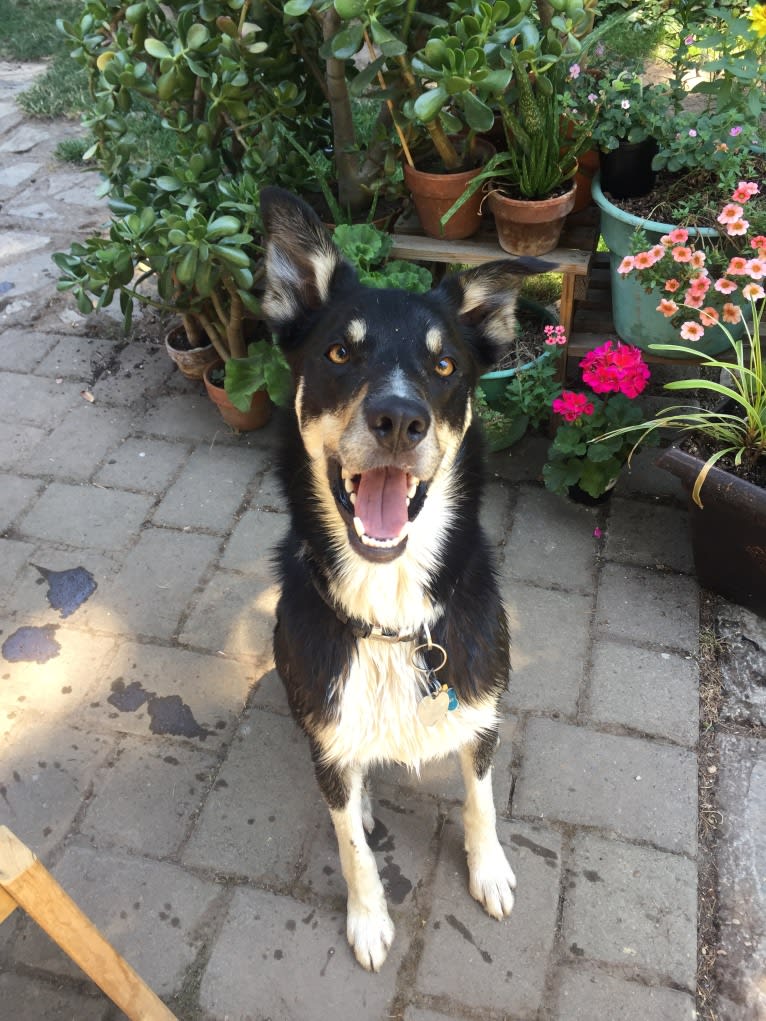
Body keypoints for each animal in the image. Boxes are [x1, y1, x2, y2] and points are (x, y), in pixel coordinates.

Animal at [261, 185, 535, 971]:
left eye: (443, 368)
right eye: (339, 351)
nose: (398, 418)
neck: (388, 617)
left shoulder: (481, 714)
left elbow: (481, 799)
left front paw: (489, 869)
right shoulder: (326, 733)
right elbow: (351, 841)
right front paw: (368, 917)